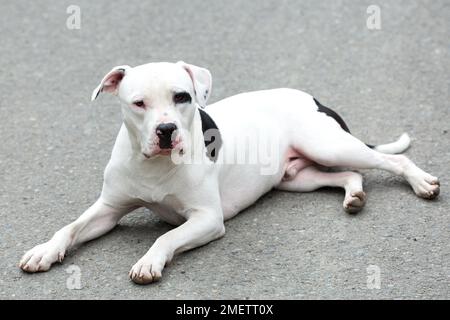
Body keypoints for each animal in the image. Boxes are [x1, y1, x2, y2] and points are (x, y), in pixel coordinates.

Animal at [18, 61, 440, 284]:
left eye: (182, 97)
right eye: (139, 103)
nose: (166, 130)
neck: (154, 164)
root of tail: (313, 97)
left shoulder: (207, 219)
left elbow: (167, 237)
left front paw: (150, 261)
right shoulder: (107, 209)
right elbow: (70, 228)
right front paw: (44, 251)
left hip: (329, 145)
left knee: (392, 162)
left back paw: (422, 183)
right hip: (298, 178)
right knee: (351, 174)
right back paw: (353, 196)